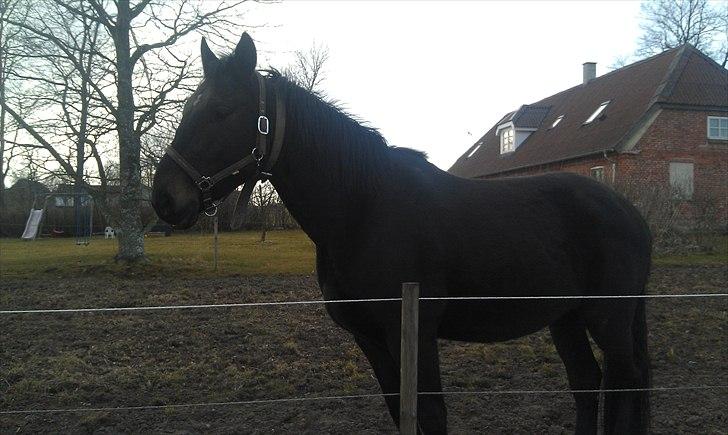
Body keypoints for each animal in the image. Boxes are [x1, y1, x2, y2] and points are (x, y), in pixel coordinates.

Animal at [151, 33, 652, 434]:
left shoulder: (413, 332)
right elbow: (400, 412)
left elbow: (430, 415)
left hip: (608, 319)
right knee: (586, 383)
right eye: (189, 108)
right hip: (565, 317)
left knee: (622, 388)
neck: (365, 209)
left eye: (222, 110)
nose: (164, 199)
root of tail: (630, 212)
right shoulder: (372, 339)